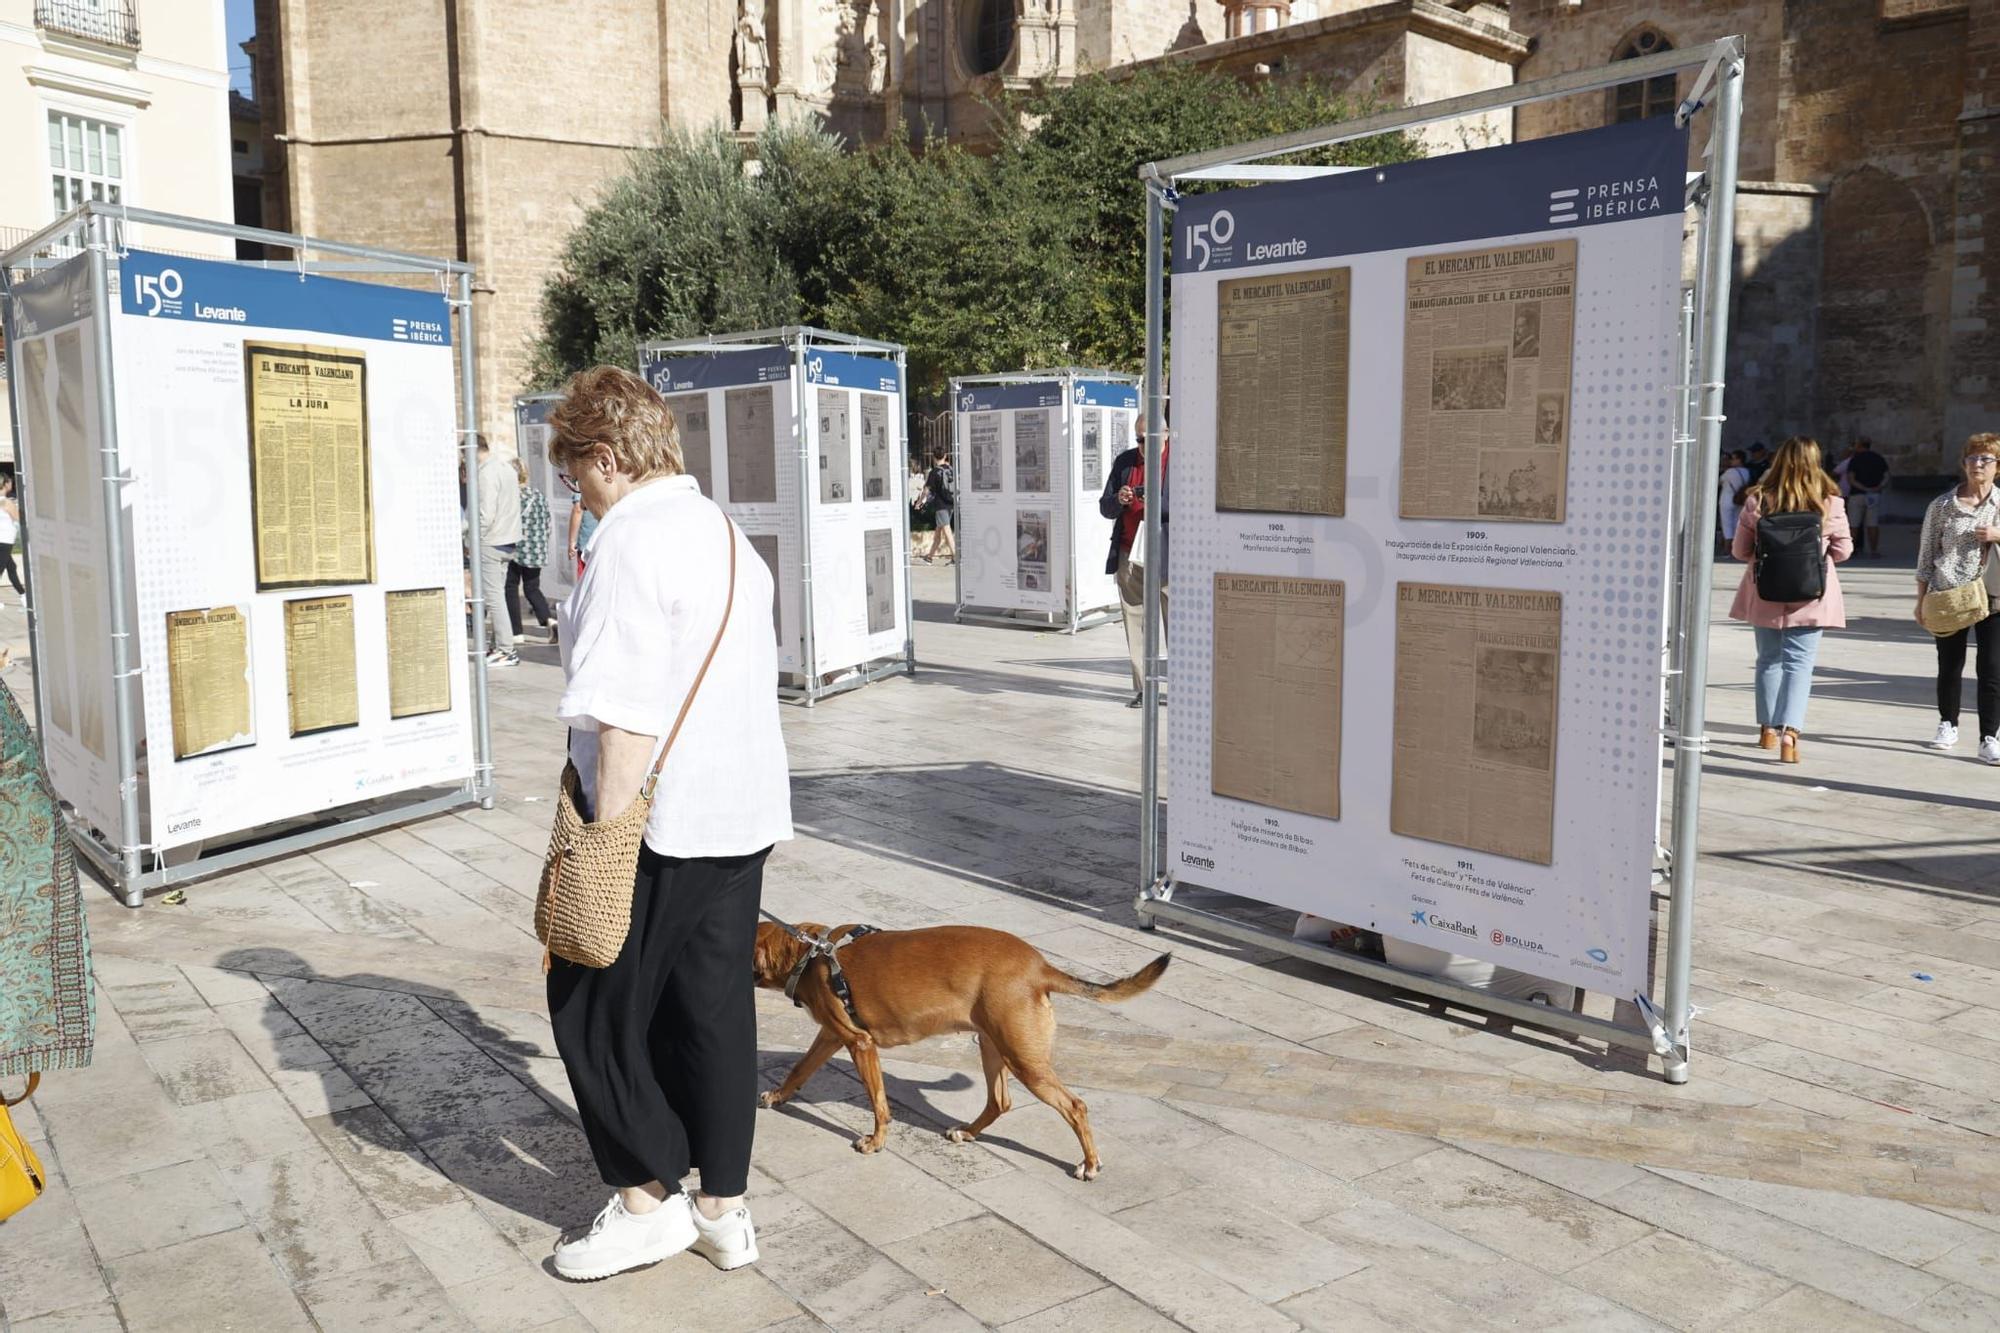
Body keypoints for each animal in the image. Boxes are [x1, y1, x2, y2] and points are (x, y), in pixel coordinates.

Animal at [752, 920, 1168, 1176]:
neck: (807, 954)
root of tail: (1041, 968)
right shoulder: (831, 1036)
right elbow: (799, 1069)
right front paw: (777, 1096)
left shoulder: (860, 1042)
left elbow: (879, 1104)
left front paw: (875, 1141)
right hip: (991, 1046)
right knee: (1000, 1102)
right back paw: (967, 1133)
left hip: (1023, 1059)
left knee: (1074, 1106)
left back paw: (1090, 1164)